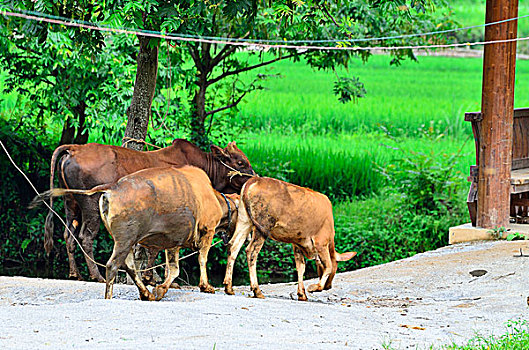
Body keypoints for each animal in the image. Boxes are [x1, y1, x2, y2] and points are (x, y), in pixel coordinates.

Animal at [40, 166, 238, 300]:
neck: (214, 198)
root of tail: (113, 187)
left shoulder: (173, 242)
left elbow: (174, 269)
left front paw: (160, 289)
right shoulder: (207, 232)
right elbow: (202, 259)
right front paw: (206, 286)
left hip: (126, 241)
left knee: (129, 266)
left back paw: (145, 294)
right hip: (125, 240)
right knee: (113, 265)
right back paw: (110, 296)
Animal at [43, 139, 254, 282]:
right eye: (240, 162)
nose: (255, 177)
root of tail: (74, 149)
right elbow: (158, 247)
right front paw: (154, 277)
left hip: (71, 203)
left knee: (68, 234)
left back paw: (75, 273)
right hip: (91, 204)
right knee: (85, 237)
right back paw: (97, 275)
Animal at [223, 178, 354, 300]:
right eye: (337, 266)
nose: (329, 286)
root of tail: (253, 180)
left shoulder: (297, 243)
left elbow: (301, 267)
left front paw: (302, 294)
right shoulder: (321, 242)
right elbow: (328, 266)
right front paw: (314, 288)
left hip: (244, 220)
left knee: (233, 246)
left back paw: (228, 287)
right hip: (263, 225)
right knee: (251, 251)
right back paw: (257, 290)